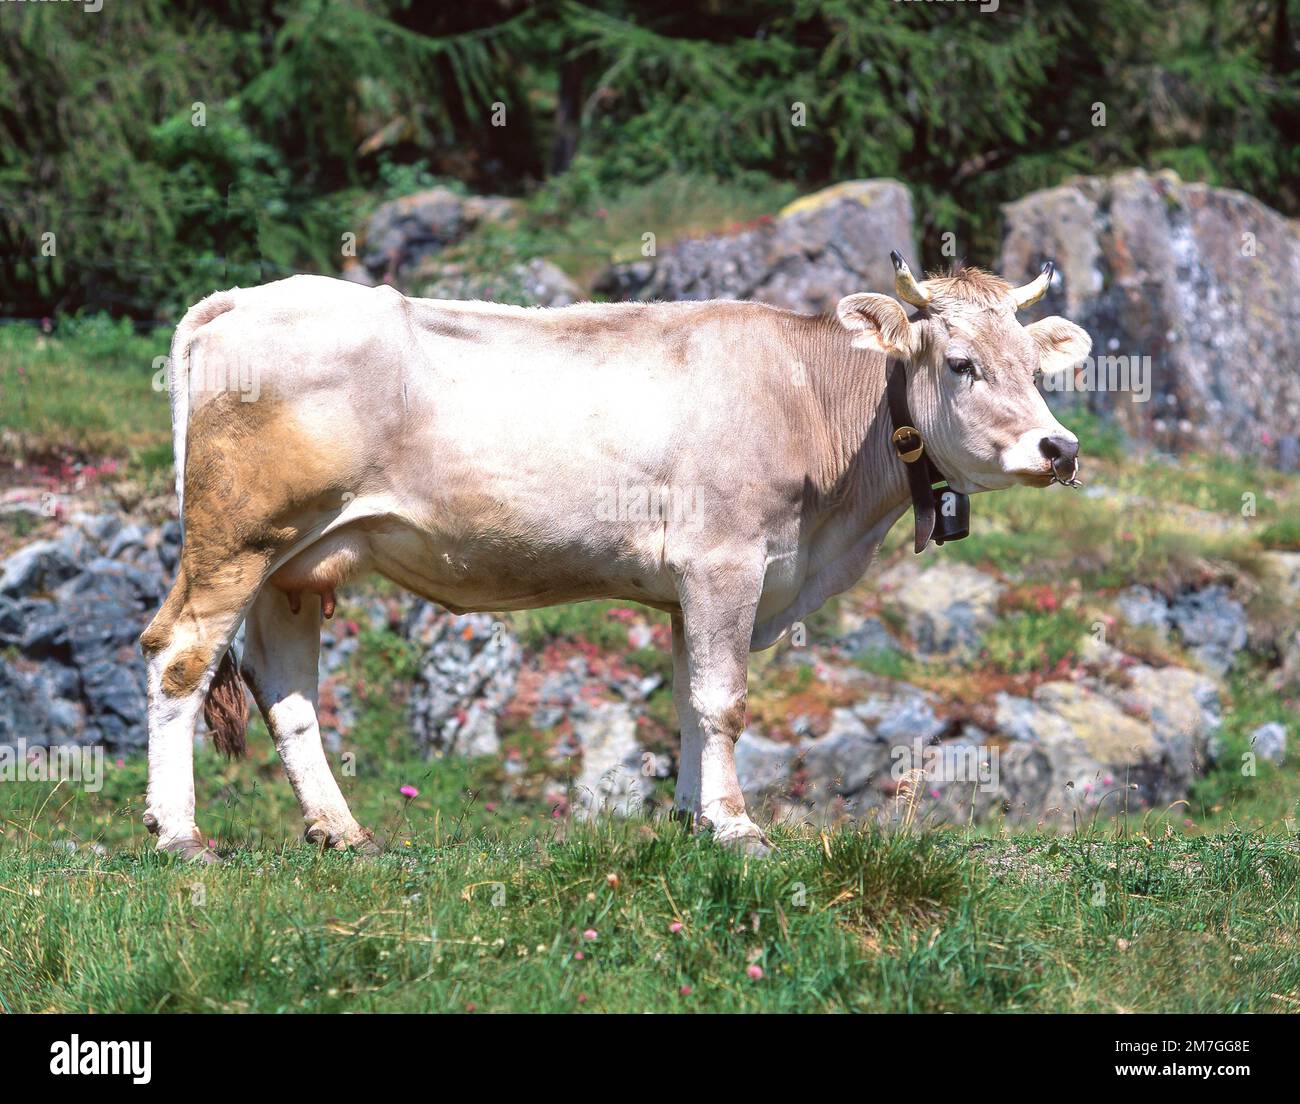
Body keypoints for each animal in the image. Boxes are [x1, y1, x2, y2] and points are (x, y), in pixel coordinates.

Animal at [142, 253, 1092, 858]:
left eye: (1035, 367)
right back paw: (182, 836)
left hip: (294, 563)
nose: (1060, 448)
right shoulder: (725, 562)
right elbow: (723, 701)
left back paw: (340, 832)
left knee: (286, 689)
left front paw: (693, 820)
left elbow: (686, 703)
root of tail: (236, 299)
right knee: (178, 656)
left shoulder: (691, 589)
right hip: (237, 539)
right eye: (962, 364)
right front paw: (739, 829)